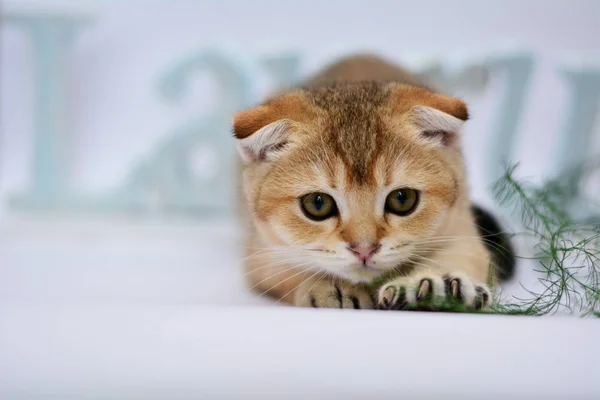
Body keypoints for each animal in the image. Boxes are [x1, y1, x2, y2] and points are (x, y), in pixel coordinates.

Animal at [232, 54, 512, 310]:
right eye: (317, 204)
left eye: (402, 199)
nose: (364, 249)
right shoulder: (260, 251)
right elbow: (289, 270)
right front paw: (328, 286)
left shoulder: (461, 224)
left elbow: (465, 255)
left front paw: (436, 285)